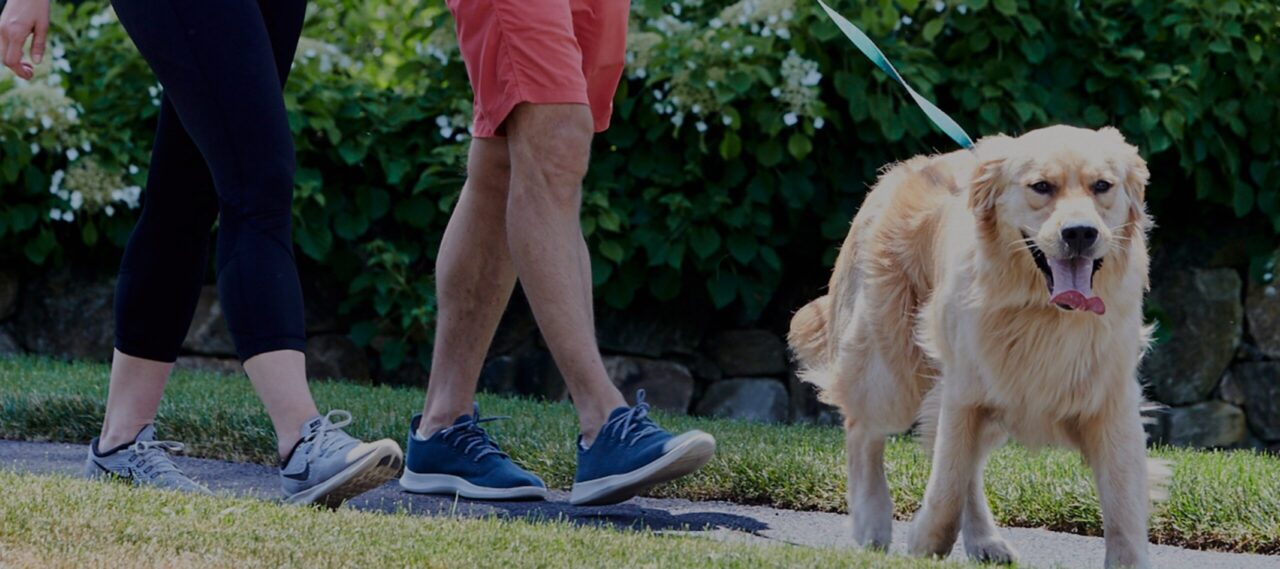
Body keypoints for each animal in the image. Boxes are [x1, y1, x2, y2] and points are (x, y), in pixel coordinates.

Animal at [788, 125, 1165, 567]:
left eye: (1102, 186)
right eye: (1041, 187)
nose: (1080, 233)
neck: (1044, 313)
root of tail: (900, 171)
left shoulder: (1110, 403)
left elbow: (1123, 506)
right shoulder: (963, 390)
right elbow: (948, 486)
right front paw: (926, 543)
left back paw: (985, 540)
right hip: (891, 370)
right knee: (863, 430)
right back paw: (872, 520)